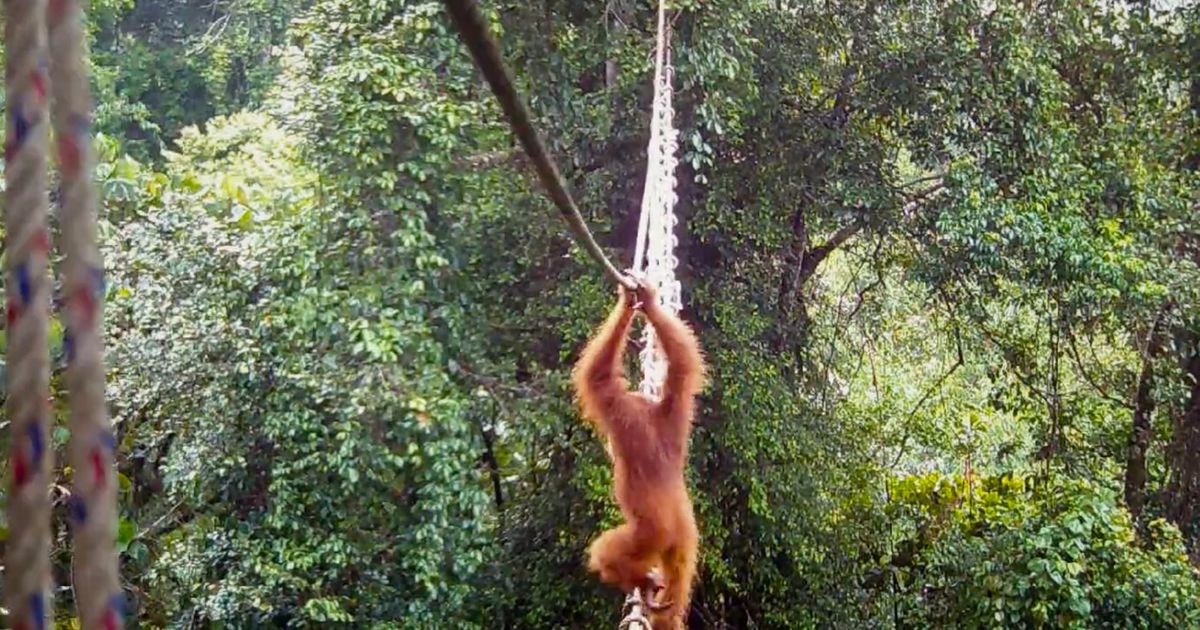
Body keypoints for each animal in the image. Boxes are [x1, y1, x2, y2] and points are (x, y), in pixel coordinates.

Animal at [572, 279, 705, 630]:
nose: (609, 447)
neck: (647, 411)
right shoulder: (675, 407)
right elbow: (683, 365)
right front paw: (650, 303)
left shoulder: (616, 406)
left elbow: (598, 375)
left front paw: (629, 302)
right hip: (685, 540)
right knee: (678, 588)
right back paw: (660, 602)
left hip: (649, 536)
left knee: (604, 553)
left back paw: (639, 580)